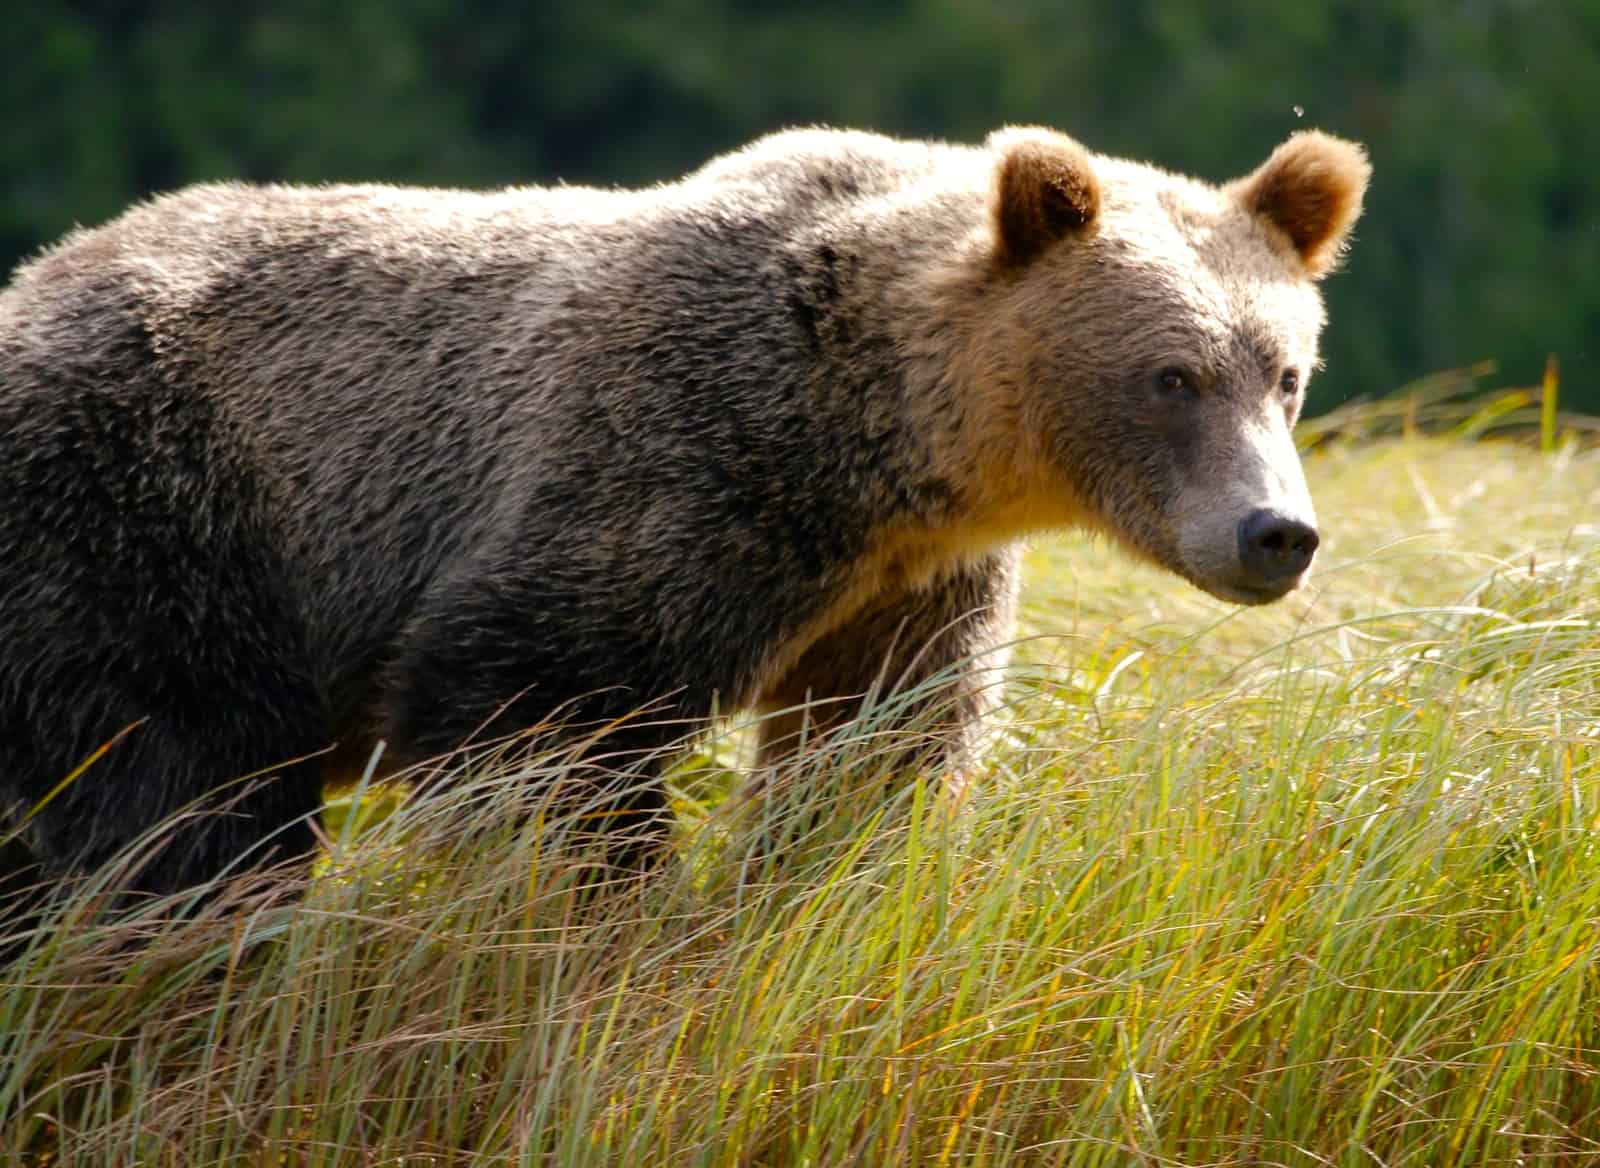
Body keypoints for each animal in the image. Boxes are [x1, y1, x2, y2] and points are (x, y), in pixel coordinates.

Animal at [0, 124, 1369, 902]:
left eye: (1285, 372)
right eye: (1170, 376)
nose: (1274, 534)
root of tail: (30, 279)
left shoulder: (905, 582)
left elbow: (875, 754)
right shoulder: (676, 469)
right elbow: (537, 718)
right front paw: (614, 918)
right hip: (150, 511)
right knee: (178, 788)